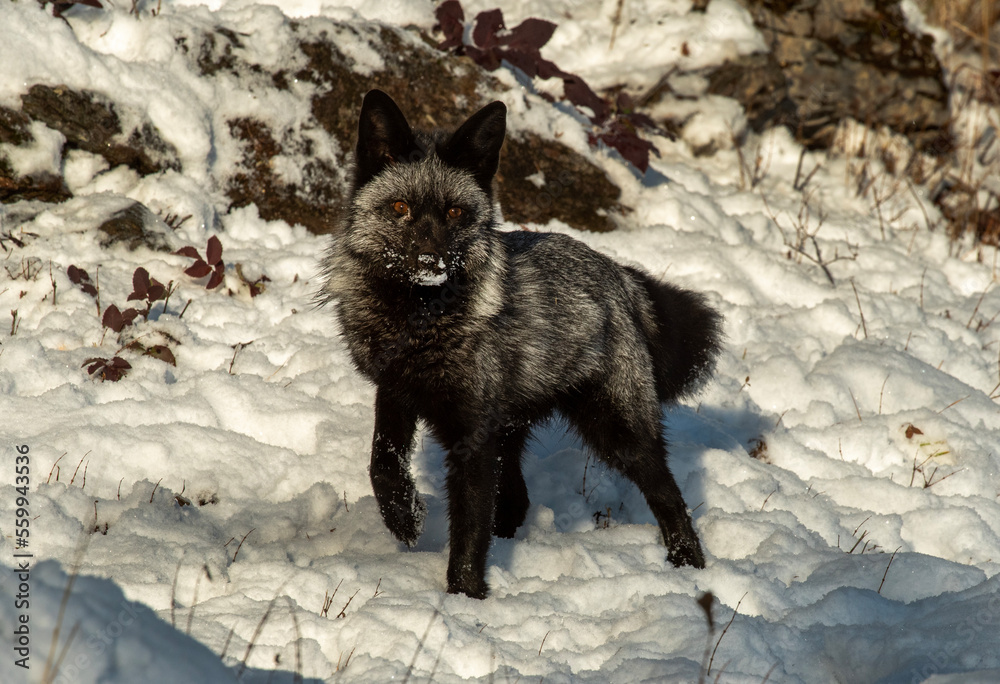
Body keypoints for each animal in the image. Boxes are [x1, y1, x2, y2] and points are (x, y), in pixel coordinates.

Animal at [319, 89, 722, 599]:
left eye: (455, 213)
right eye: (399, 208)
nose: (432, 262)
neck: (419, 323)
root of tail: (620, 274)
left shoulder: (471, 436)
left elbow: (468, 530)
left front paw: (464, 598)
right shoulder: (395, 391)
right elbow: (382, 464)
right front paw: (405, 520)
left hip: (616, 430)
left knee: (667, 493)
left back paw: (689, 563)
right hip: (511, 429)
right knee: (516, 499)